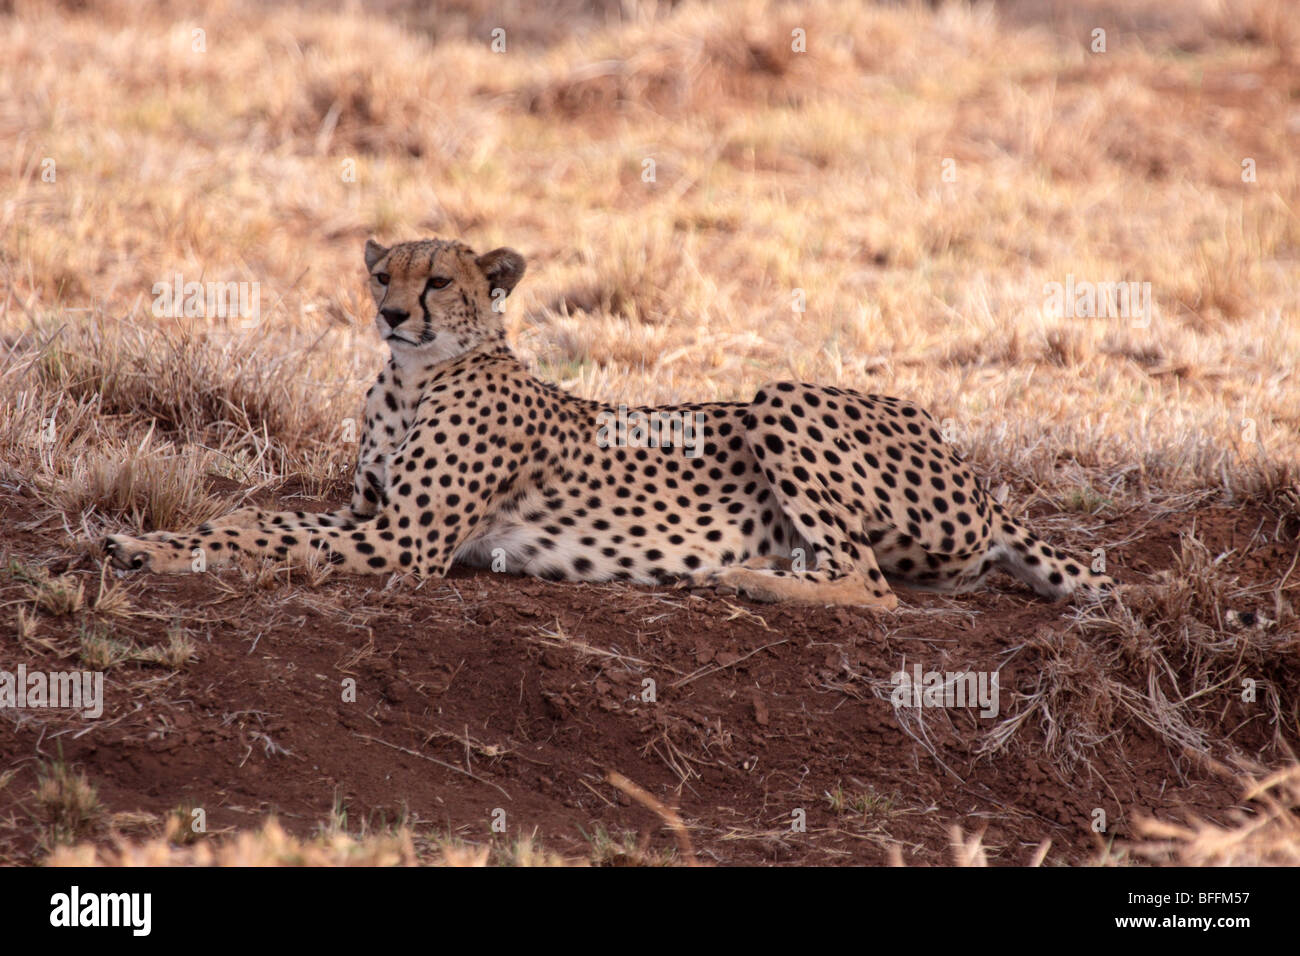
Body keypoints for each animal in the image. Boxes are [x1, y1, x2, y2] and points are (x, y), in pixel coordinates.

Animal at [104, 239, 1118, 613]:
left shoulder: (406, 542)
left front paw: (154, 550)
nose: (390, 314)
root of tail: (973, 471)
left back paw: (745, 578)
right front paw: (146, 538)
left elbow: (266, 534)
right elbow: (256, 517)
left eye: (438, 281)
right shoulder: (371, 517)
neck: (411, 376)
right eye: (383, 274)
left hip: (779, 398)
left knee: (871, 587)